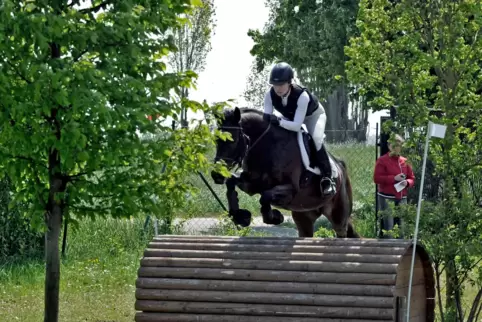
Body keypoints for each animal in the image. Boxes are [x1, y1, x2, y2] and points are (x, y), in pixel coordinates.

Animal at [209, 107, 360, 238]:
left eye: (232, 140)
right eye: (215, 139)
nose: (216, 175)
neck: (267, 148)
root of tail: (340, 167)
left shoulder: (291, 191)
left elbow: (265, 196)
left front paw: (275, 217)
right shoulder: (251, 185)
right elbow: (231, 182)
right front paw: (241, 217)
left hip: (338, 215)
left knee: (343, 232)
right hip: (304, 216)